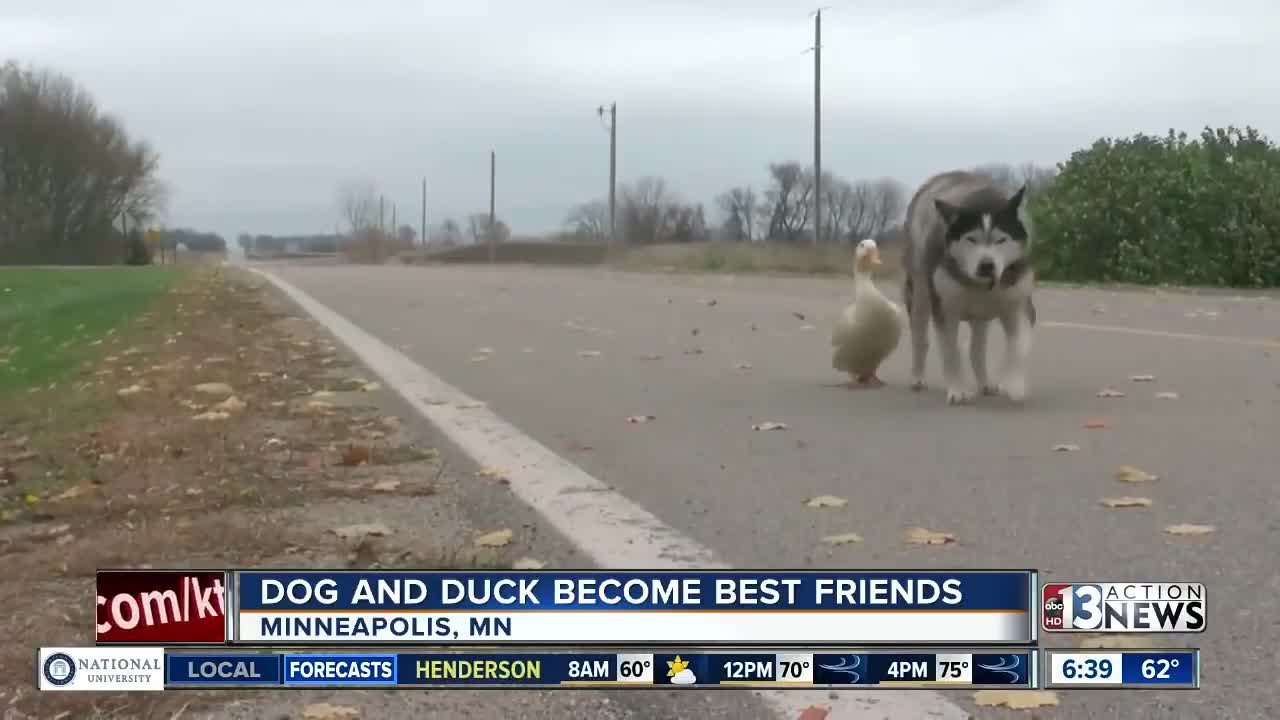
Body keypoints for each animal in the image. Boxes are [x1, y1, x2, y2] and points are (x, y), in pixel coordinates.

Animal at [901, 169, 1039, 404]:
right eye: (971, 239)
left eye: (1001, 239)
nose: (987, 265)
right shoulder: (945, 308)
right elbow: (951, 351)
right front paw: (957, 390)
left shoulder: (1018, 302)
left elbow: (1019, 346)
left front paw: (1013, 384)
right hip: (919, 291)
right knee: (920, 337)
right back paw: (917, 377)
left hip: (981, 313)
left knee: (977, 349)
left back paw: (985, 383)